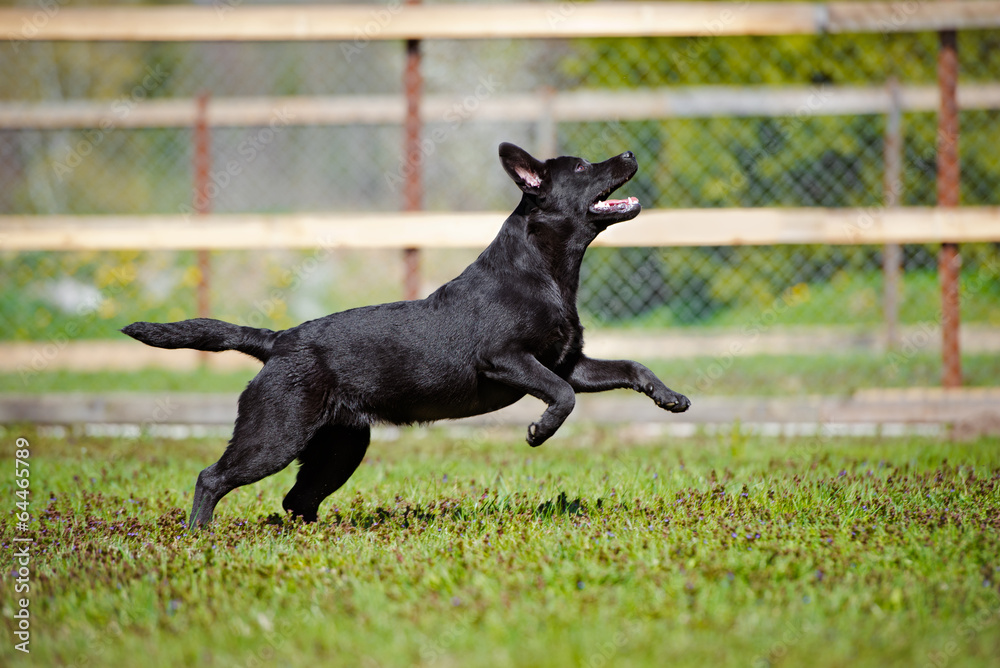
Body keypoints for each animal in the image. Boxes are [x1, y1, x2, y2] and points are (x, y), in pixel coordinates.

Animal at [121, 142, 688, 528]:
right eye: (582, 167)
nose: (629, 152)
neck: (545, 273)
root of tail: (277, 340)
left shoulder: (570, 361)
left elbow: (629, 368)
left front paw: (669, 397)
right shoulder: (507, 358)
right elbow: (563, 396)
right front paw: (539, 430)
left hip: (342, 445)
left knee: (296, 500)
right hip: (275, 435)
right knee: (212, 478)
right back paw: (199, 536)